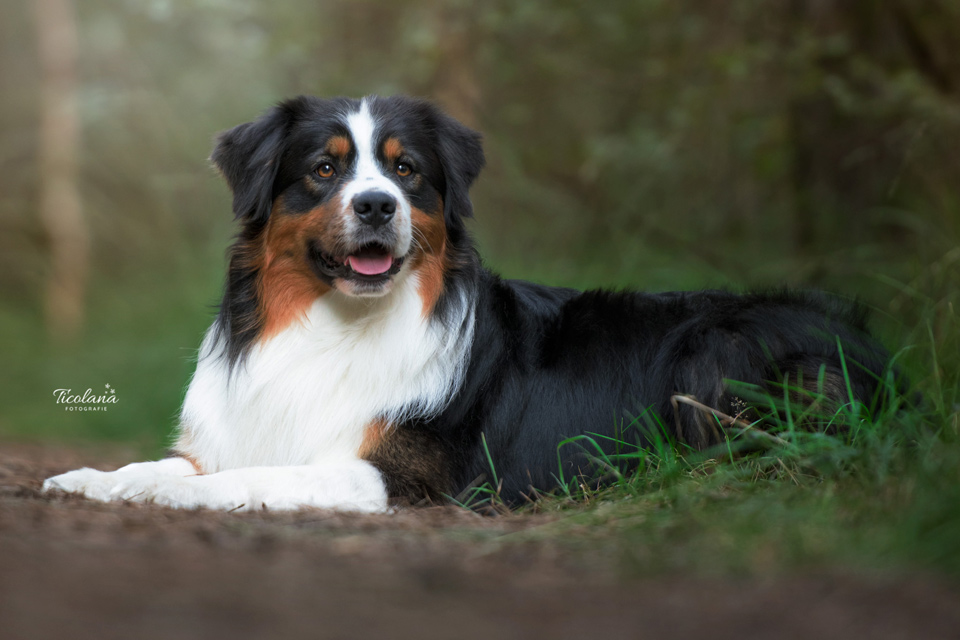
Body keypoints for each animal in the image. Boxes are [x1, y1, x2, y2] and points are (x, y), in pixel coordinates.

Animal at [43, 95, 900, 512]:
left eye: (407, 170)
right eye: (324, 168)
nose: (377, 206)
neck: (333, 324)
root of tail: (882, 351)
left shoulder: (397, 476)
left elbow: (253, 480)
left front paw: (160, 493)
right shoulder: (230, 431)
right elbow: (174, 461)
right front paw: (94, 478)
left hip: (719, 345)